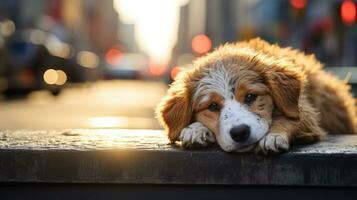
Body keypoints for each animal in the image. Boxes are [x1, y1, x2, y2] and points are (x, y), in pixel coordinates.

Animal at [155, 38, 356, 155]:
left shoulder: (307, 112)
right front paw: (194, 129)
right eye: (212, 106)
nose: (240, 132)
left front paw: (274, 136)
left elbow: (290, 119)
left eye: (251, 96)